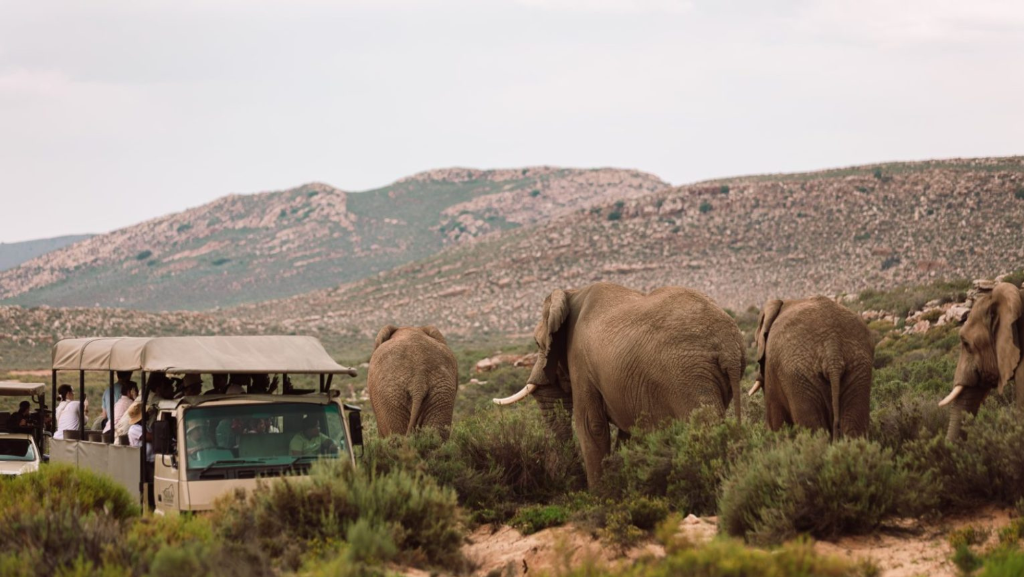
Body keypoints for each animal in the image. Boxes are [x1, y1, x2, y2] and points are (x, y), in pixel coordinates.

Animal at [493, 282, 746, 487]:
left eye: (537, 343)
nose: (575, 487)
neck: (572, 293)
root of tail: (729, 345)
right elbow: (627, 433)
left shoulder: (581, 361)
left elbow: (590, 426)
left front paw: (598, 497)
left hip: (689, 374)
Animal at [748, 296, 873, 439]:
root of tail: (832, 347)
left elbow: (776, 421)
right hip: (859, 368)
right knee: (853, 428)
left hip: (798, 375)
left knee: (814, 429)